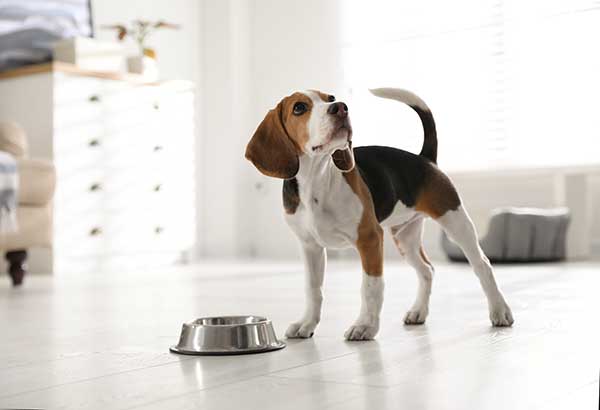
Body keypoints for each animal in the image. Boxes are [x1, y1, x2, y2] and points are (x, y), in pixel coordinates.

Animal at [245, 88, 516, 342]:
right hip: (405, 237)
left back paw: (499, 311)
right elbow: (313, 289)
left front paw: (365, 326)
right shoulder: (310, 246)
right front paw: (307, 324)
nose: (340, 107)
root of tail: (425, 159)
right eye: (299, 108)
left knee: (482, 265)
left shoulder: (370, 238)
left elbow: (370, 286)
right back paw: (418, 312)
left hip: (455, 220)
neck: (317, 180)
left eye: (330, 97)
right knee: (427, 270)